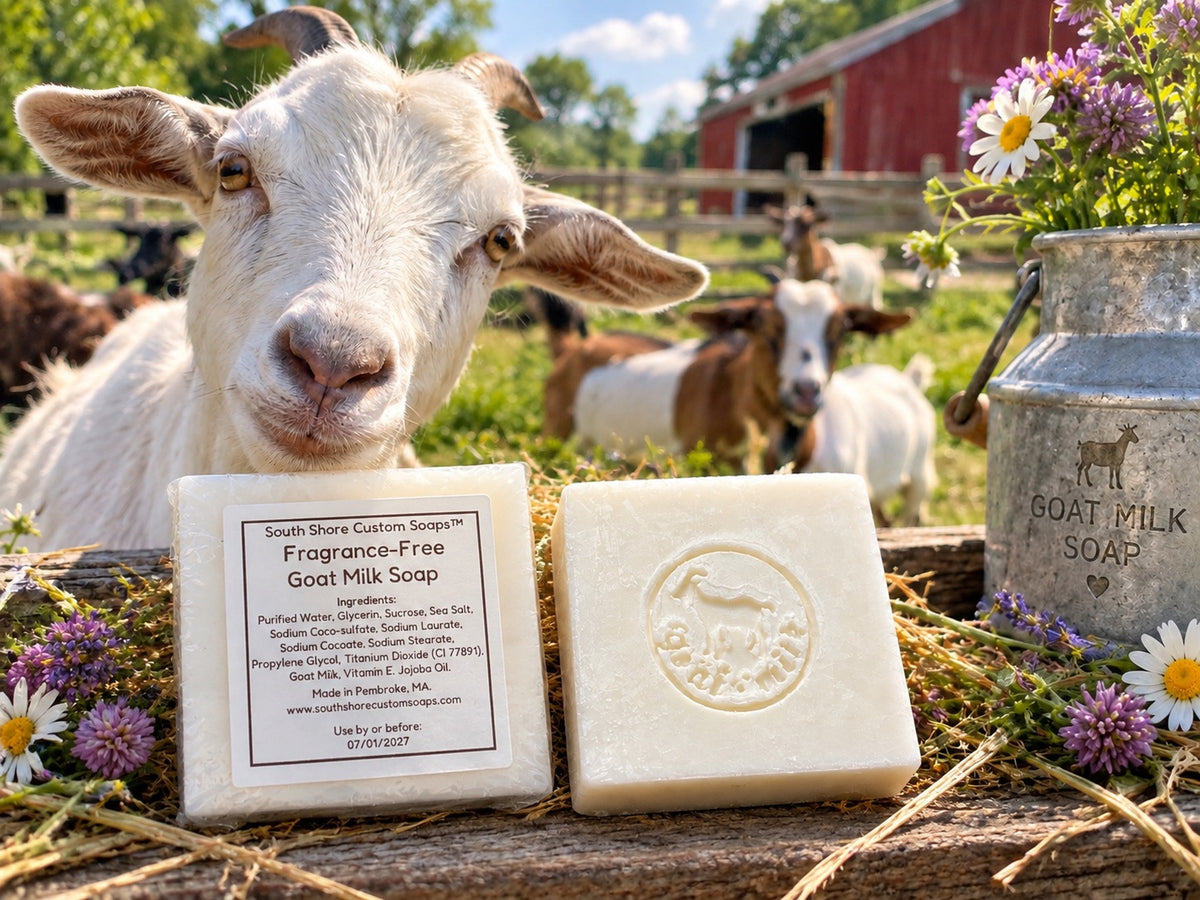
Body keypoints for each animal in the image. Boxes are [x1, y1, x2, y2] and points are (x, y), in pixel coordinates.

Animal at [545, 278, 935, 523]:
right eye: (763, 325)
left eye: (840, 330)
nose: (805, 390)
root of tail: (575, 348)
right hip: (560, 434)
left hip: (917, 477)